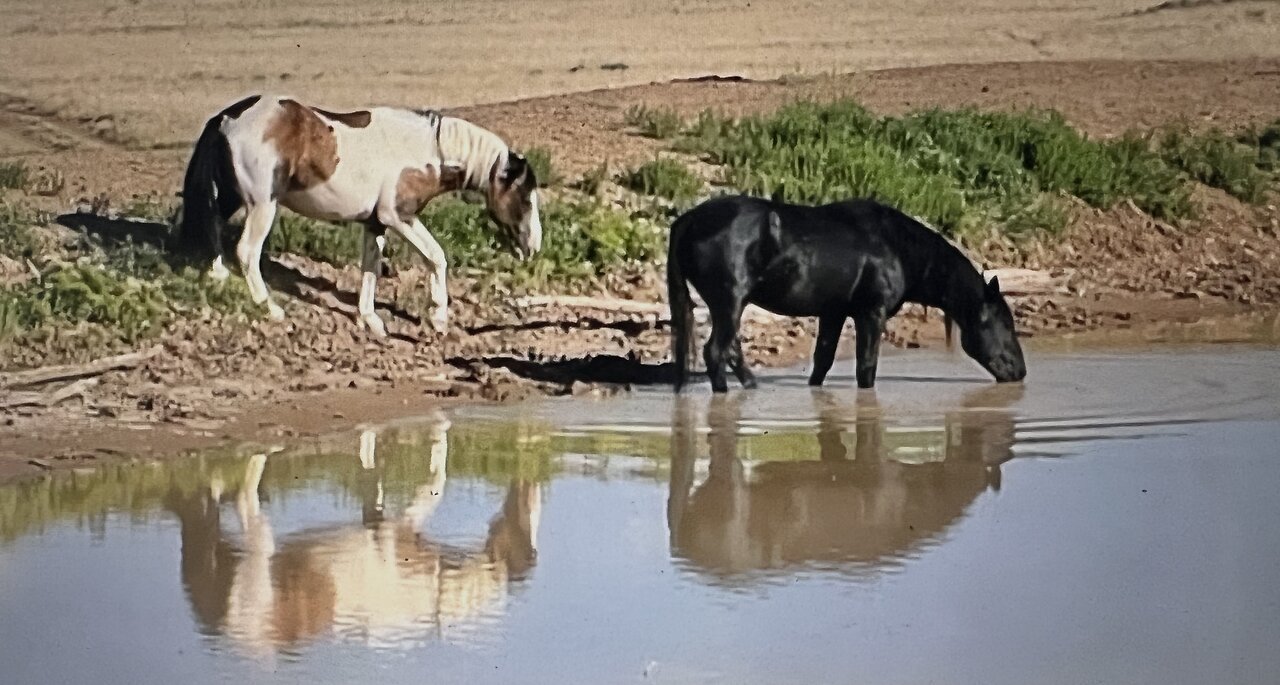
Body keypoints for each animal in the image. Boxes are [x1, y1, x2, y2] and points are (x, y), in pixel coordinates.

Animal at [176, 93, 540, 335]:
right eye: (525, 198)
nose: (533, 247)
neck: (429, 150)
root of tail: (226, 118)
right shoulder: (398, 217)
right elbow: (436, 257)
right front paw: (438, 318)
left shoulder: (375, 224)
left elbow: (370, 270)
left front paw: (371, 320)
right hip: (262, 205)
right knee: (246, 251)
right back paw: (271, 308)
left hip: (232, 198)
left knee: (213, 227)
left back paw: (218, 277)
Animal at [665, 195, 1024, 394]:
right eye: (1005, 324)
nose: (1020, 372)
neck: (896, 247)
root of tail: (689, 220)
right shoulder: (871, 314)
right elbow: (866, 368)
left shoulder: (833, 313)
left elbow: (822, 362)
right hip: (729, 302)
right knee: (715, 351)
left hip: (729, 305)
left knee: (730, 351)